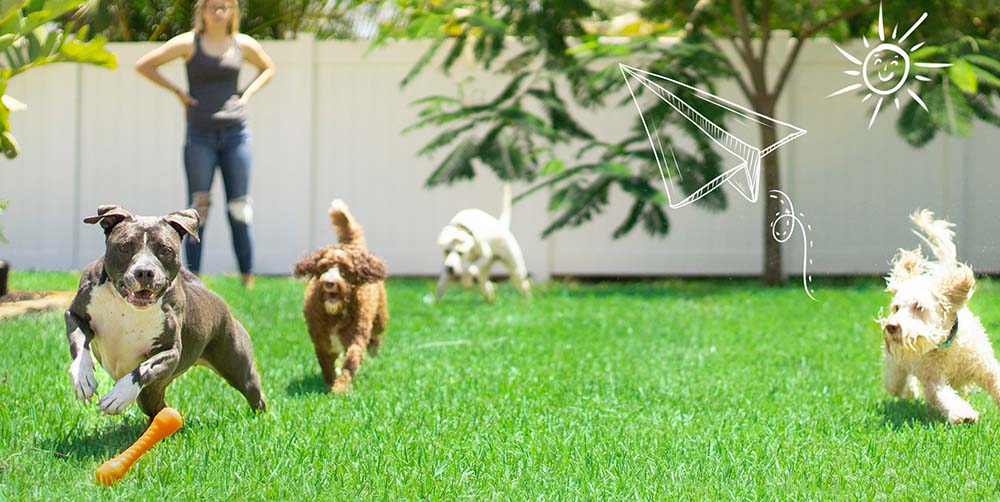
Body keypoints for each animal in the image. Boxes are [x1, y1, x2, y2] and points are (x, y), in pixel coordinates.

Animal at [64, 206, 268, 418]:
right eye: (124, 247)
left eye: (165, 250)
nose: (145, 272)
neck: (127, 306)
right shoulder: (75, 315)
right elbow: (79, 344)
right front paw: (82, 378)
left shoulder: (171, 351)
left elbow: (145, 368)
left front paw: (119, 395)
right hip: (151, 394)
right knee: (160, 407)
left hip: (237, 367)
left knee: (255, 394)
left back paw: (259, 418)